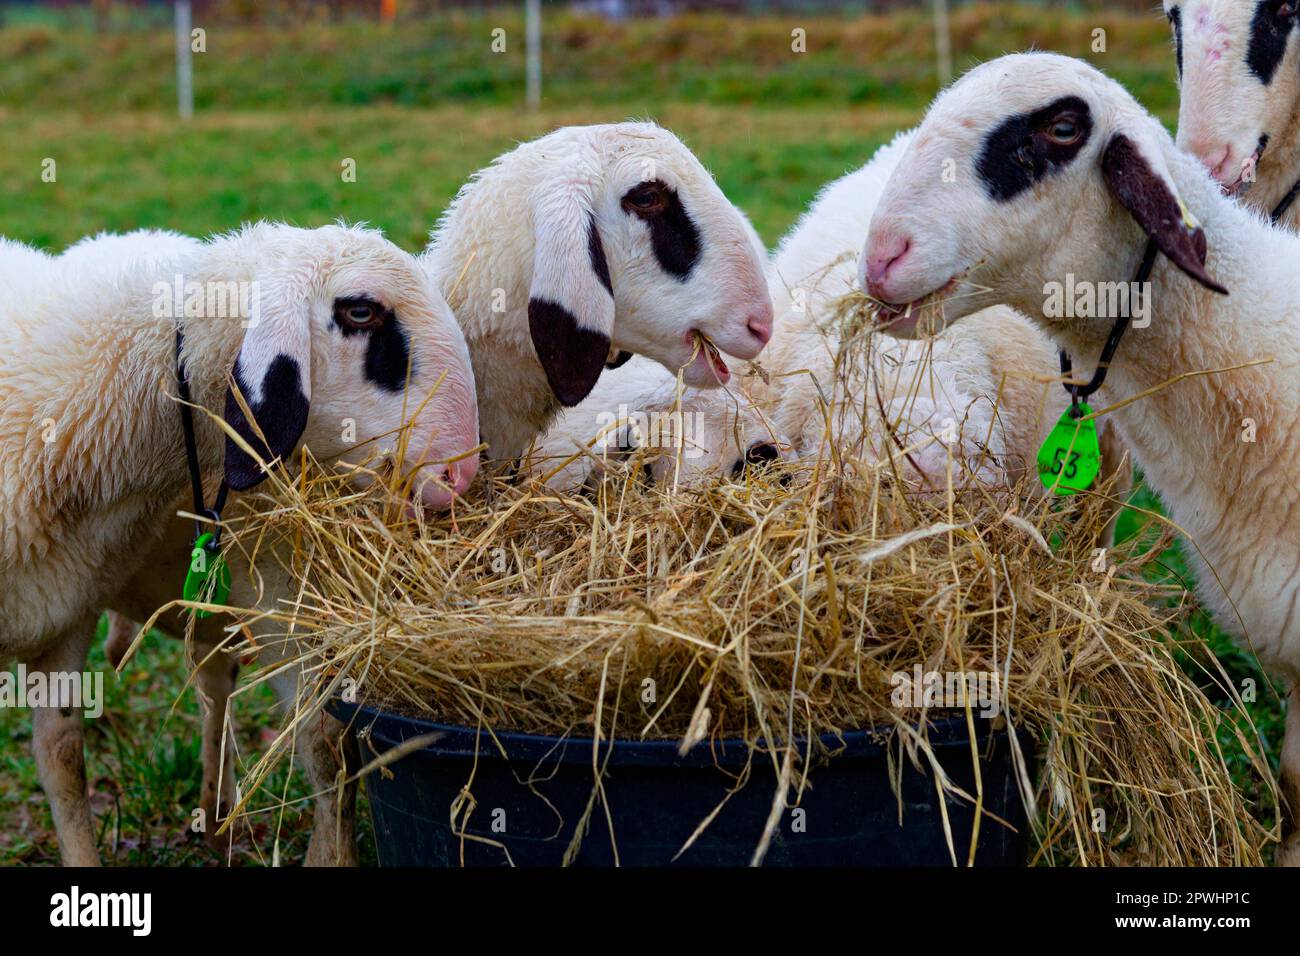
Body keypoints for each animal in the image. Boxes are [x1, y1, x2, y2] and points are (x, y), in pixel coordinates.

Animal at [0, 223, 480, 868]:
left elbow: (64, 761)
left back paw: (217, 815)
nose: (461, 475)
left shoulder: (67, 619)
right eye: (360, 311)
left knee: (217, 682)